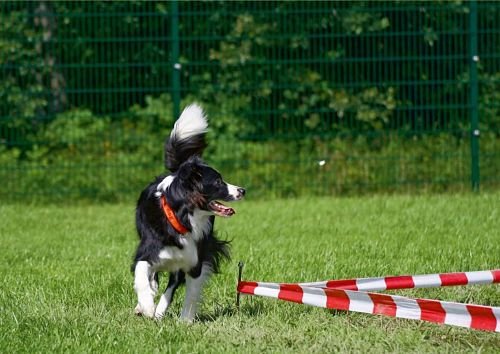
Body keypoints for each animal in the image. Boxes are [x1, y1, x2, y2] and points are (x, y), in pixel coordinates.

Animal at [131, 103, 244, 322]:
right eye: (218, 182)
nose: (242, 190)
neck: (182, 219)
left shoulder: (194, 258)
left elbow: (189, 292)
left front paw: (184, 322)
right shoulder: (147, 250)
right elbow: (141, 273)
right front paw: (146, 305)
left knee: (172, 284)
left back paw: (160, 312)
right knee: (154, 277)